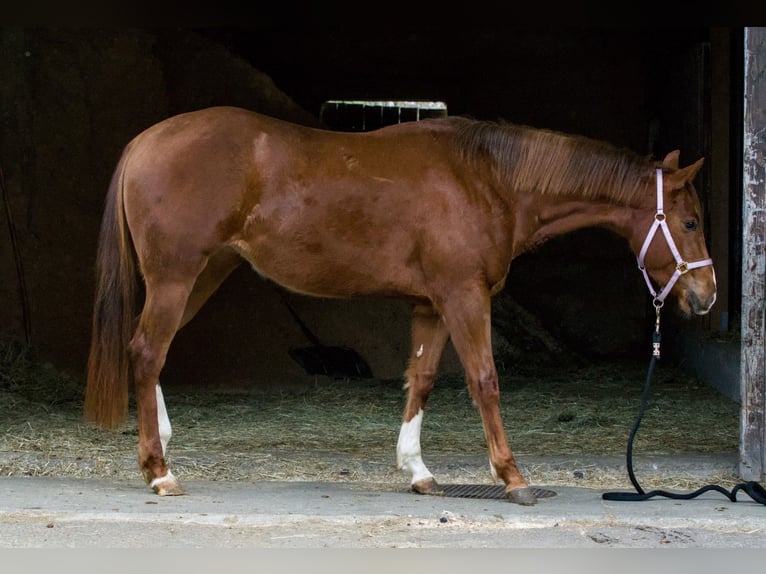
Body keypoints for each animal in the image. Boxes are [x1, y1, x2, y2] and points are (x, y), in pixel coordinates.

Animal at [84, 106, 716, 505]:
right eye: (689, 222)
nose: (705, 296)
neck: (487, 179)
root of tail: (146, 141)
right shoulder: (463, 296)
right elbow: (485, 379)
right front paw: (513, 477)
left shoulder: (431, 305)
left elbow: (423, 380)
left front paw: (418, 470)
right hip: (177, 277)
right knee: (147, 351)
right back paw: (160, 472)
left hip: (202, 274)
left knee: (150, 350)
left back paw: (160, 450)